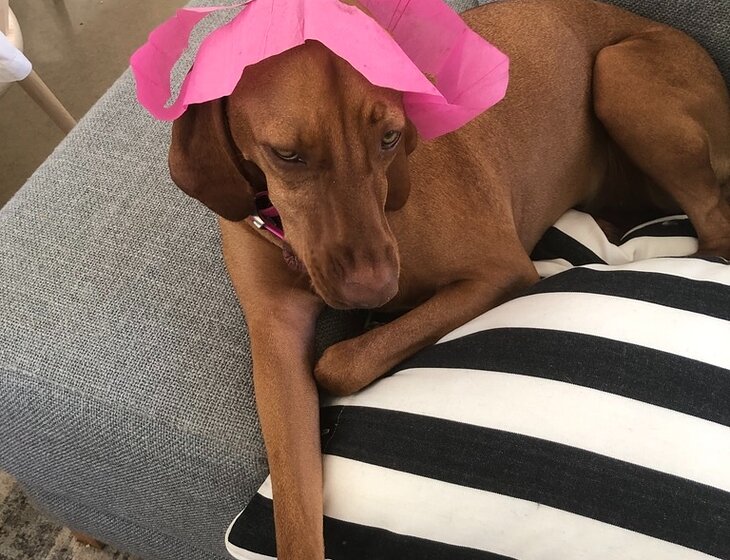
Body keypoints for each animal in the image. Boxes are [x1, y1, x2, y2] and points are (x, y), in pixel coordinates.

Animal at [167, 0, 730, 557]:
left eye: (389, 138)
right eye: (286, 154)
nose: (376, 291)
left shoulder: (500, 271)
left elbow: (338, 364)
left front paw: (366, 337)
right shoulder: (276, 339)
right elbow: (294, 511)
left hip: (618, 71)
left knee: (714, 231)